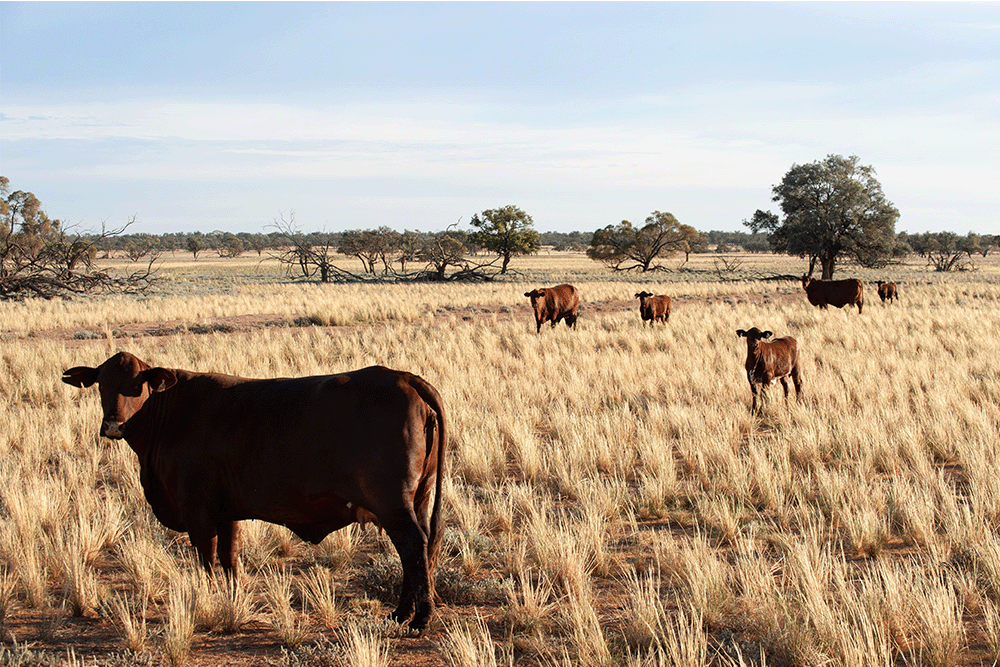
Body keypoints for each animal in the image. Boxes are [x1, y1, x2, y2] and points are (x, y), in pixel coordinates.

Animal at [62, 352, 446, 632]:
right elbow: (230, 558)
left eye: (136, 386)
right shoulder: (226, 512)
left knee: (413, 546)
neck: (172, 414)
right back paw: (400, 613)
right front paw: (233, 599)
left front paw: (208, 599)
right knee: (419, 549)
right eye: (101, 384)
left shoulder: (198, 512)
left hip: (393, 505)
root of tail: (404, 377)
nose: (112, 425)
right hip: (417, 498)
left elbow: (207, 559)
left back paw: (420, 618)